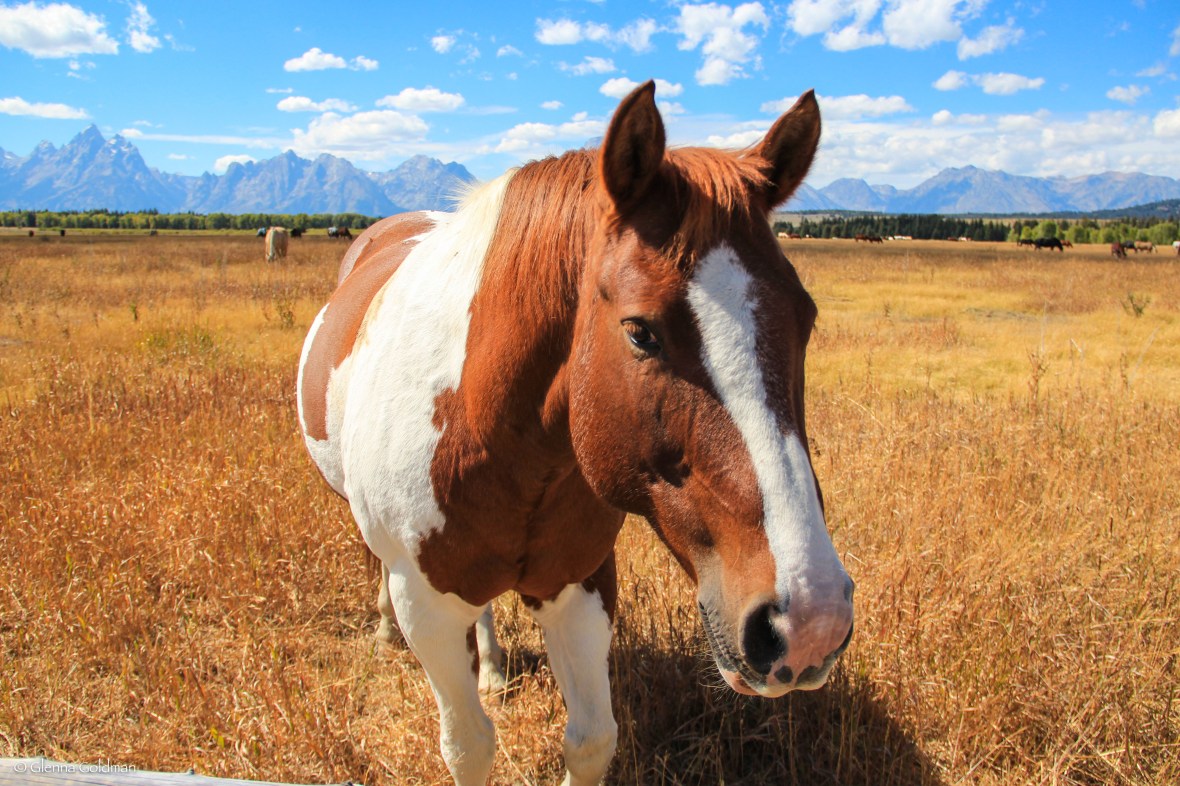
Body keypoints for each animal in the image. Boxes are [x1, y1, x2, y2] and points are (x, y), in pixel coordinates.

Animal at [297, 82, 854, 786]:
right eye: (640, 331)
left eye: (805, 319)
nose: (810, 621)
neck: (490, 434)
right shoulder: (427, 607)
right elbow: (468, 746)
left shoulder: (580, 587)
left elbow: (591, 740)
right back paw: (384, 633)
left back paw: (495, 669)